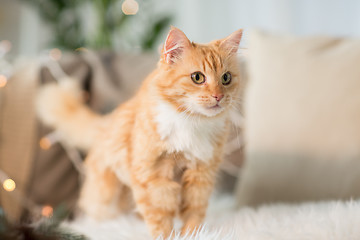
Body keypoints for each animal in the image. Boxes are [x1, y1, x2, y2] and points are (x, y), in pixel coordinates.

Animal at [36, 26, 243, 238]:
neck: (192, 122)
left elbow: (194, 212)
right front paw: (168, 236)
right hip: (104, 195)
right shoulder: (153, 175)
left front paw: (193, 235)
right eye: (198, 77)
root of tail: (107, 123)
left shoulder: (201, 175)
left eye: (226, 78)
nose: (218, 96)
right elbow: (160, 216)